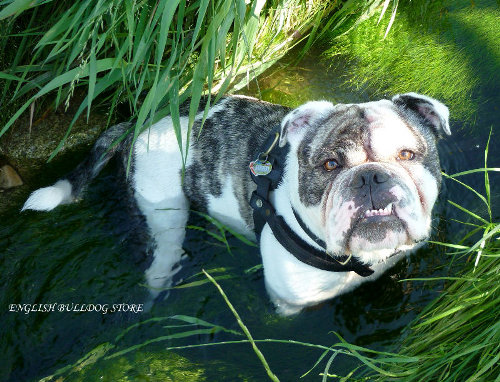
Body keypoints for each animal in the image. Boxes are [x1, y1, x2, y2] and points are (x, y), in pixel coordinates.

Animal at [22, 92, 450, 314]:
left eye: (408, 155)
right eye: (330, 165)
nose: (370, 177)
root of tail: (139, 122)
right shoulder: (287, 306)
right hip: (163, 214)